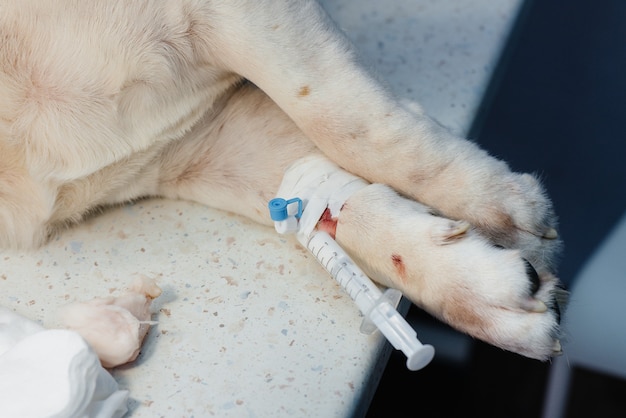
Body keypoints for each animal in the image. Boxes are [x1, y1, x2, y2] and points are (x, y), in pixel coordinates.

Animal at [0, 0, 564, 360]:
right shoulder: (197, 144)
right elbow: (324, 190)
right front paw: (468, 280)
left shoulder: (235, 16)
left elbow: (339, 117)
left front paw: (493, 202)